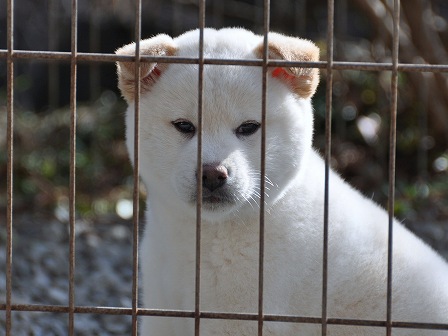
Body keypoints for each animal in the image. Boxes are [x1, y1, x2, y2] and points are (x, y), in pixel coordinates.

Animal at [116, 27, 448, 334]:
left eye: (249, 127)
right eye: (184, 126)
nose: (213, 174)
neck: (209, 236)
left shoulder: (239, 318)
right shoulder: (164, 311)